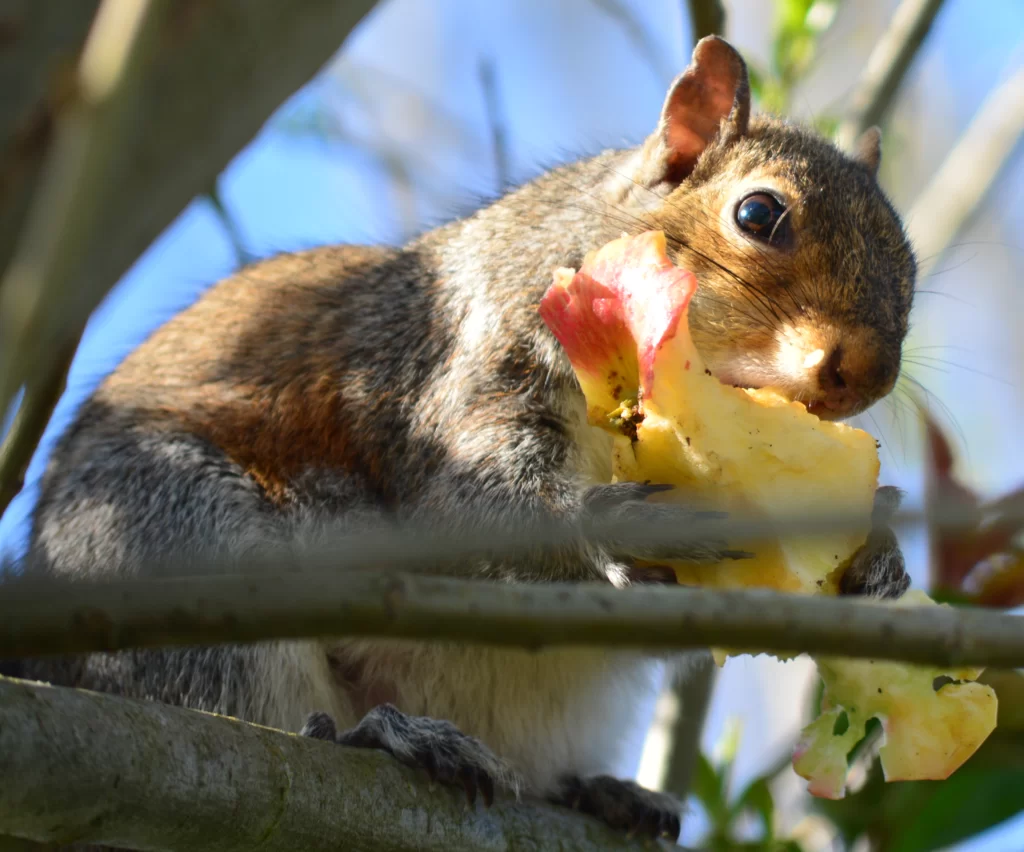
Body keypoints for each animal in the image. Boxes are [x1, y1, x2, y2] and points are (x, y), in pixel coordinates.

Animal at [9, 36, 913, 843]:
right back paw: (388, 737)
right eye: (759, 214)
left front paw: (876, 555)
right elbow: (476, 508)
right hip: (175, 544)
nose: (865, 374)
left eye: (908, 261)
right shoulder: (456, 376)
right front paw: (622, 523)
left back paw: (597, 791)